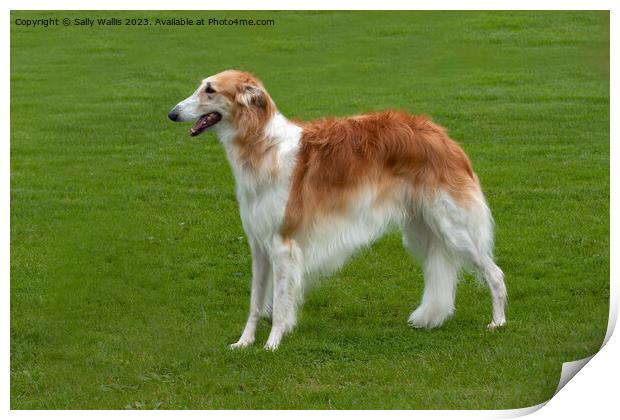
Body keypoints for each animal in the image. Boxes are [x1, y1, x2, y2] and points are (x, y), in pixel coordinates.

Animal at [167, 69, 506, 352]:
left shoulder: (282, 245)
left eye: (210, 90)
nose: (172, 113)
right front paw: (244, 342)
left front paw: (272, 343)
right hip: (423, 229)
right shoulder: (259, 246)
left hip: (454, 228)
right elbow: (255, 303)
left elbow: (280, 303)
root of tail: (445, 138)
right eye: (202, 86)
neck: (263, 147)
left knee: (496, 274)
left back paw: (498, 322)